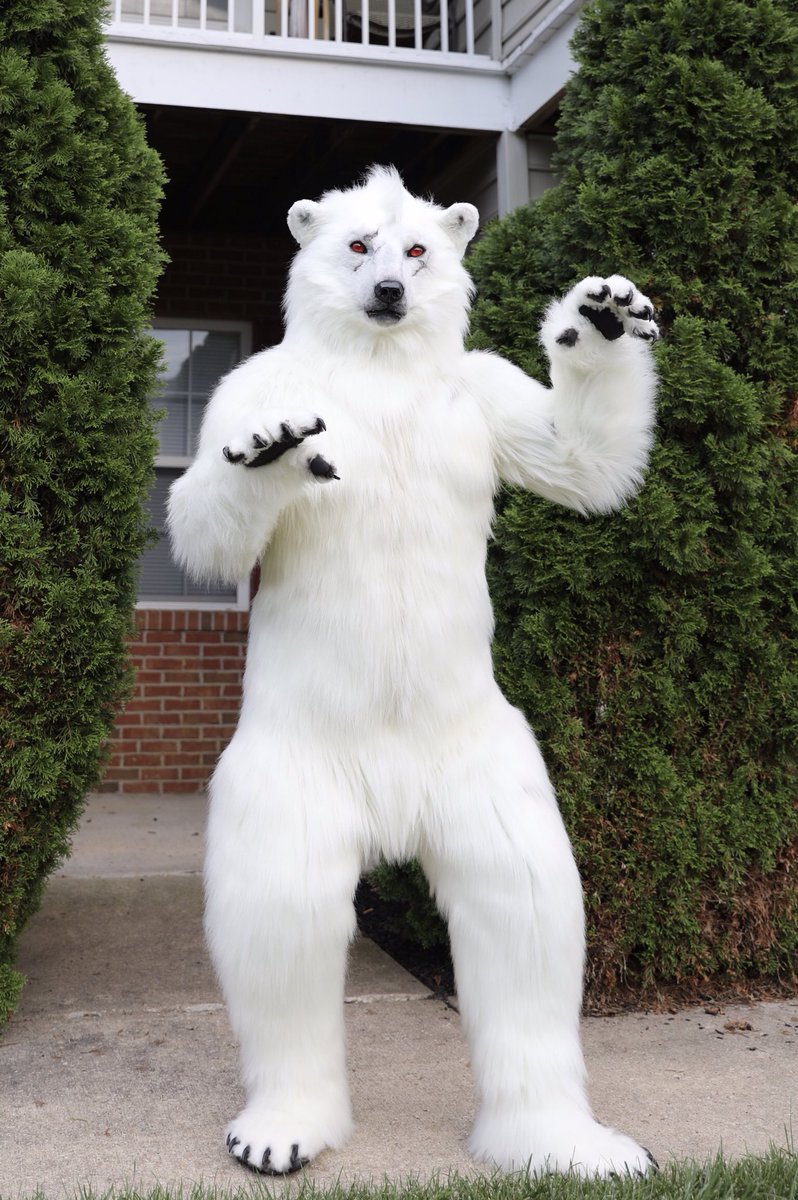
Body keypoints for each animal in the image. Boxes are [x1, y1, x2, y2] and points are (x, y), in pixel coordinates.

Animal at [167, 165, 659, 1178]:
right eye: (357, 243)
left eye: (420, 247)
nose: (390, 291)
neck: (381, 367)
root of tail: (391, 818)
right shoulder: (254, 380)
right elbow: (201, 520)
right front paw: (274, 446)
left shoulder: (477, 395)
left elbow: (579, 461)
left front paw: (601, 311)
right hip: (293, 766)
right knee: (282, 907)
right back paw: (279, 1130)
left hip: (486, 763)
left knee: (526, 904)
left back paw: (569, 1141)